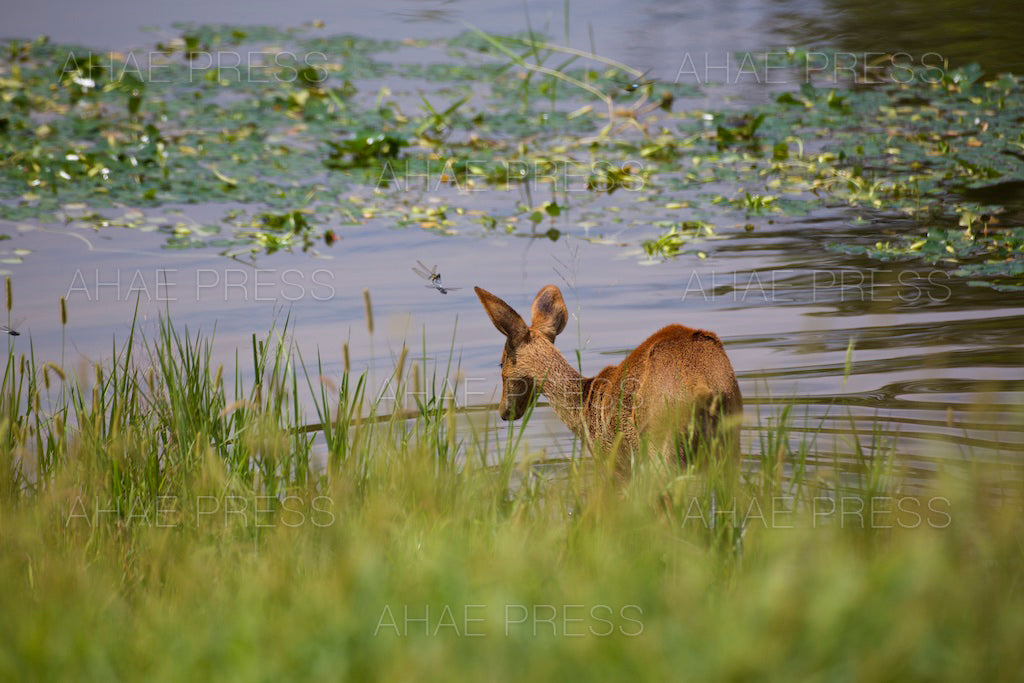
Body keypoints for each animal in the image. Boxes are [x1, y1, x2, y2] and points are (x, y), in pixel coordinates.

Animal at [475, 284, 742, 472]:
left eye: (501, 362)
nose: (504, 411)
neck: (582, 408)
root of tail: (703, 388)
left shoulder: (609, 458)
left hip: (663, 444)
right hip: (729, 434)